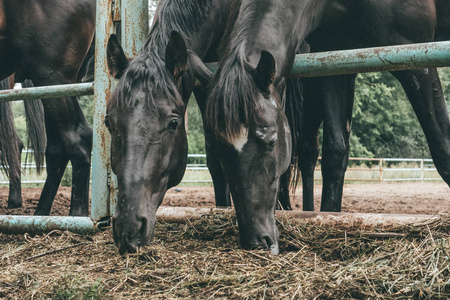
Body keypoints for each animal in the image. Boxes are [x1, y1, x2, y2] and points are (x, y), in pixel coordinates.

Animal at [203, 0, 450, 253]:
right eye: (221, 150)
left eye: (271, 142)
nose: (256, 241)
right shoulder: (335, 61)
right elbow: (334, 155)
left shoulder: (417, 60)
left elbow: (443, 150)